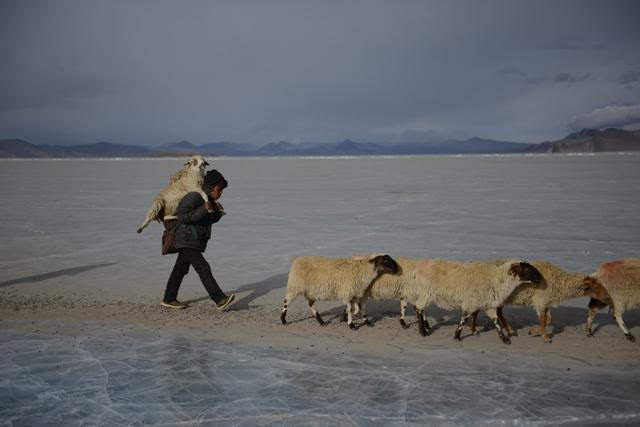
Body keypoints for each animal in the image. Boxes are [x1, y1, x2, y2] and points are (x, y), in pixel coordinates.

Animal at [412, 260, 544, 346]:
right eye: (527, 269)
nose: (541, 279)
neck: (498, 280)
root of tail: (417, 270)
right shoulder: (470, 302)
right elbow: (463, 319)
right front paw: (457, 336)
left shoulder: (489, 304)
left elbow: (496, 322)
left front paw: (505, 339)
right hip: (426, 293)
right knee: (419, 310)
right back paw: (423, 332)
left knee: (419, 309)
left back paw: (425, 328)